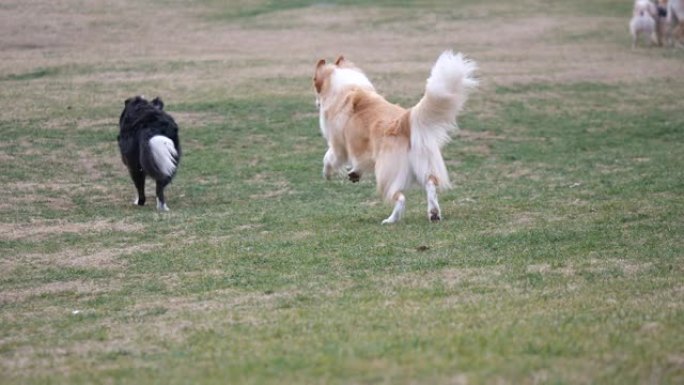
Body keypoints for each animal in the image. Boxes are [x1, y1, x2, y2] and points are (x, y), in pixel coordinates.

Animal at [312, 50, 476, 224]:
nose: (316, 103)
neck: (349, 88)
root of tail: (405, 122)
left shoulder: (339, 145)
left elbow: (328, 158)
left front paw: (327, 174)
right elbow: (359, 162)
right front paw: (354, 174)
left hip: (385, 176)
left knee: (400, 198)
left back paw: (390, 220)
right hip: (424, 165)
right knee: (431, 184)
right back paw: (434, 213)